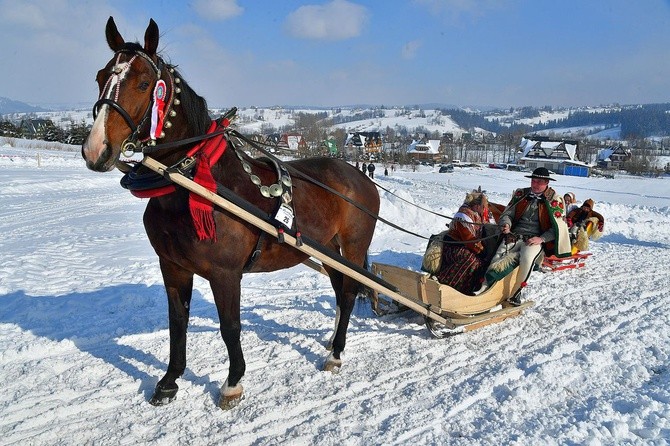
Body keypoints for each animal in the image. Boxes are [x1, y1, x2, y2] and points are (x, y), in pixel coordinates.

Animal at [81, 16, 380, 408]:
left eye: (145, 84)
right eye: (100, 76)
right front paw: (169, 380)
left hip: (353, 247)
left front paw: (233, 382)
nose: (96, 149)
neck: (192, 182)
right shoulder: (172, 266)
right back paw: (332, 341)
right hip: (329, 249)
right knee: (338, 289)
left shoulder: (225, 274)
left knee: (347, 293)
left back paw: (336, 353)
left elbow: (230, 326)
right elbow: (178, 322)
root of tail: (360, 177)